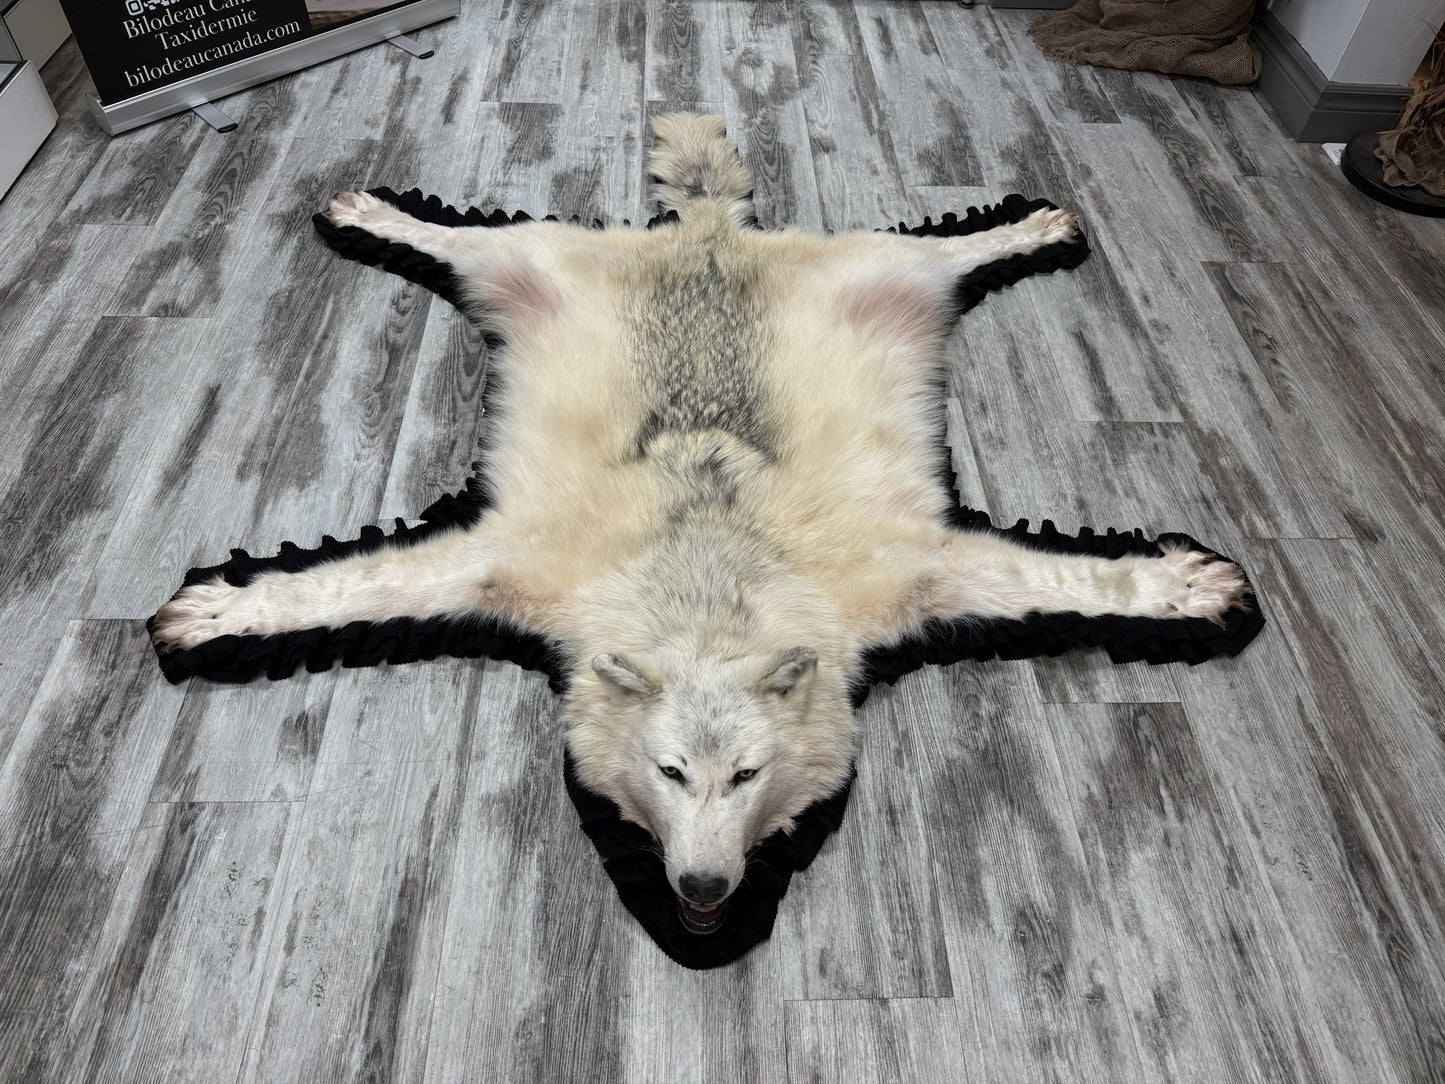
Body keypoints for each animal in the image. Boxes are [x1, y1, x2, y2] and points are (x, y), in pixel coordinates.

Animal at [151, 114, 1249, 936]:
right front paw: (213, 616)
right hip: (527, 258)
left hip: (889, 272)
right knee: (457, 237)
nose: (703, 893)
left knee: (952, 244)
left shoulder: (921, 569)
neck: (709, 573)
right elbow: (346, 587)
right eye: (671, 773)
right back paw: (367, 209)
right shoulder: (498, 563)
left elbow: (1083, 581)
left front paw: (1188, 585)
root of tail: (708, 234)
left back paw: (1030, 229)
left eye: (746, 774)